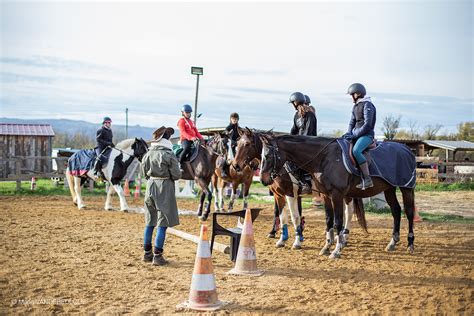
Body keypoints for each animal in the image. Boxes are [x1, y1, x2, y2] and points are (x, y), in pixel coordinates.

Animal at [232, 128, 360, 249]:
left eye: (247, 144)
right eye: (237, 143)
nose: (235, 165)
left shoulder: (290, 193)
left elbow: (294, 216)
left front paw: (297, 241)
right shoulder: (279, 194)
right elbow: (281, 215)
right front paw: (280, 237)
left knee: (348, 212)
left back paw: (343, 237)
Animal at [258, 134, 416, 260]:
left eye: (267, 156)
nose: (263, 179)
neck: (324, 158)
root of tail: (406, 149)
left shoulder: (336, 194)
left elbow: (337, 221)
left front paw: (336, 250)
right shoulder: (326, 196)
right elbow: (328, 220)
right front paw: (327, 247)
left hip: (406, 188)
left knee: (409, 213)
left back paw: (410, 244)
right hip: (389, 189)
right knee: (396, 211)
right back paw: (392, 243)